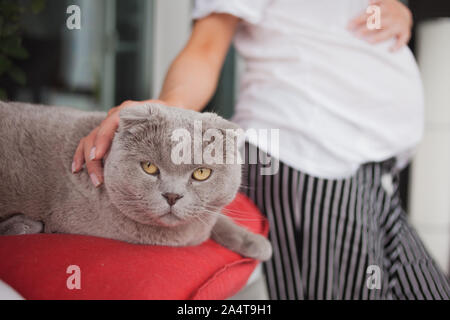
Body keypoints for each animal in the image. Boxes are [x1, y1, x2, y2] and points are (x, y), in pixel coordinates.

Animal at [0, 101, 272, 262]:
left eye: (201, 173)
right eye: (149, 167)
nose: (172, 196)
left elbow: (216, 219)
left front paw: (256, 243)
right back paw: (26, 225)